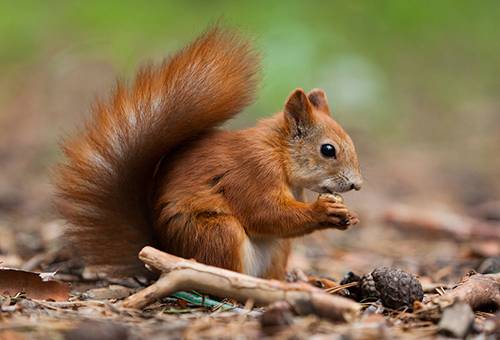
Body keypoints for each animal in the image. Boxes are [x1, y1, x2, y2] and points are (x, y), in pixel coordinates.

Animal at [54, 27, 362, 278]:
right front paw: (323, 210)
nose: (357, 185)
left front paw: (349, 217)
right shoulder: (253, 173)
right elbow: (265, 212)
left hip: (277, 250)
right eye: (328, 150)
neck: (278, 154)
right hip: (217, 233)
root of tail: (164, 255)